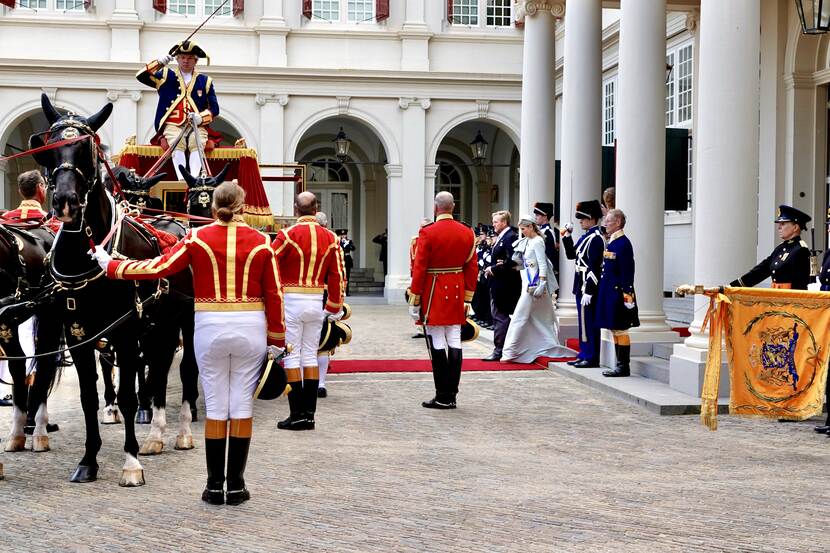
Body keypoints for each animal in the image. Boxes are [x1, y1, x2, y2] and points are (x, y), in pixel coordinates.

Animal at [29, 94, 169, 484]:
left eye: (87, 149)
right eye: (49, 148)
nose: (65, 201)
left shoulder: (125, 331)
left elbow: (128, 396)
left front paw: (131, 461)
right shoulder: (80, 334)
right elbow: (89, 396)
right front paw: (89, 459)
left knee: (164, 372)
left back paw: (162, 431)